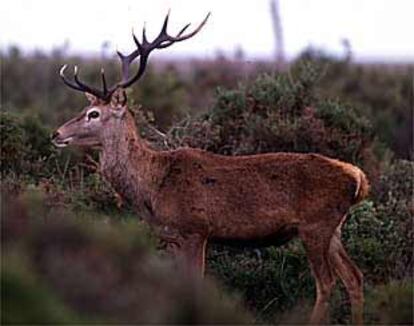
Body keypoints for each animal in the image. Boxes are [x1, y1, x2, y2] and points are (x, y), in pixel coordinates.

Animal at [51, 11, 368, 324]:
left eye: (93, 114)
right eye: (84, 109)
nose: (56, 133)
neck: (153, 186)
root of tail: (357, 178)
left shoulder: (195, 229)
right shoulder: (174, 238)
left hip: (315, 225)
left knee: (326, 282)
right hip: (333, 229)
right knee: (355, 277)